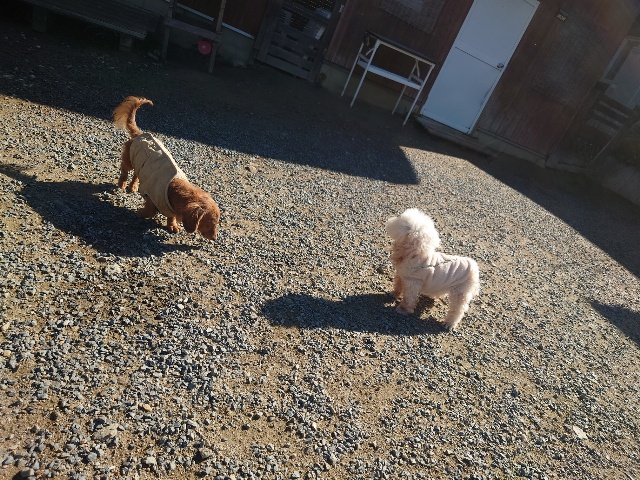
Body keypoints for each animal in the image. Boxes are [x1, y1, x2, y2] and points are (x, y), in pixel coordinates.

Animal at [113, 96, 220, 240]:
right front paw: (141, 212)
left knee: (136, 174)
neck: (173, 188)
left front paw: (172, 226)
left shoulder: (170, 208)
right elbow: (150, 212)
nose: (215, 238)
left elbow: (171, 216)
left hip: (139, 164)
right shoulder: (151, 197)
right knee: (124, 170)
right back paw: (122, 183)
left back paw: (133, 186)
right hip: (130, 159)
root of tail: (140, 134)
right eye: (209, 224)